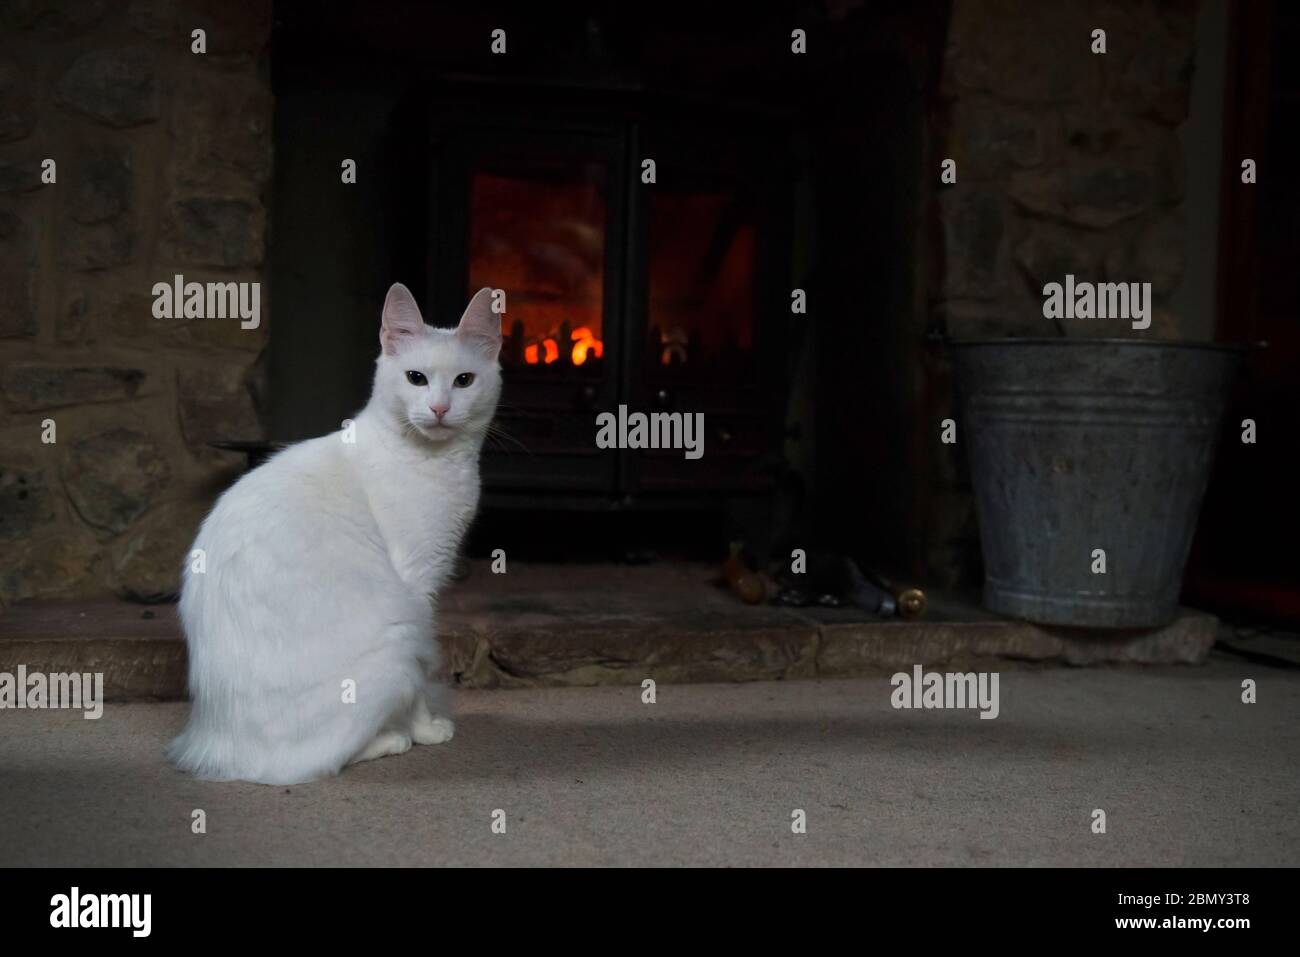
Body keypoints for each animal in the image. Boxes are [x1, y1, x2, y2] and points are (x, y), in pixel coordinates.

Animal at [169, 283, 501, 785]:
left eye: (464, 381)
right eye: (416, 378)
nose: (440, 408)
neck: (438, 462)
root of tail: (215, 745)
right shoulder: (418, 589)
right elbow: (423, 677)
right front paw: (425, 729)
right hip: (398, 637)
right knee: (314, 762)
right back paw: (392, 738)